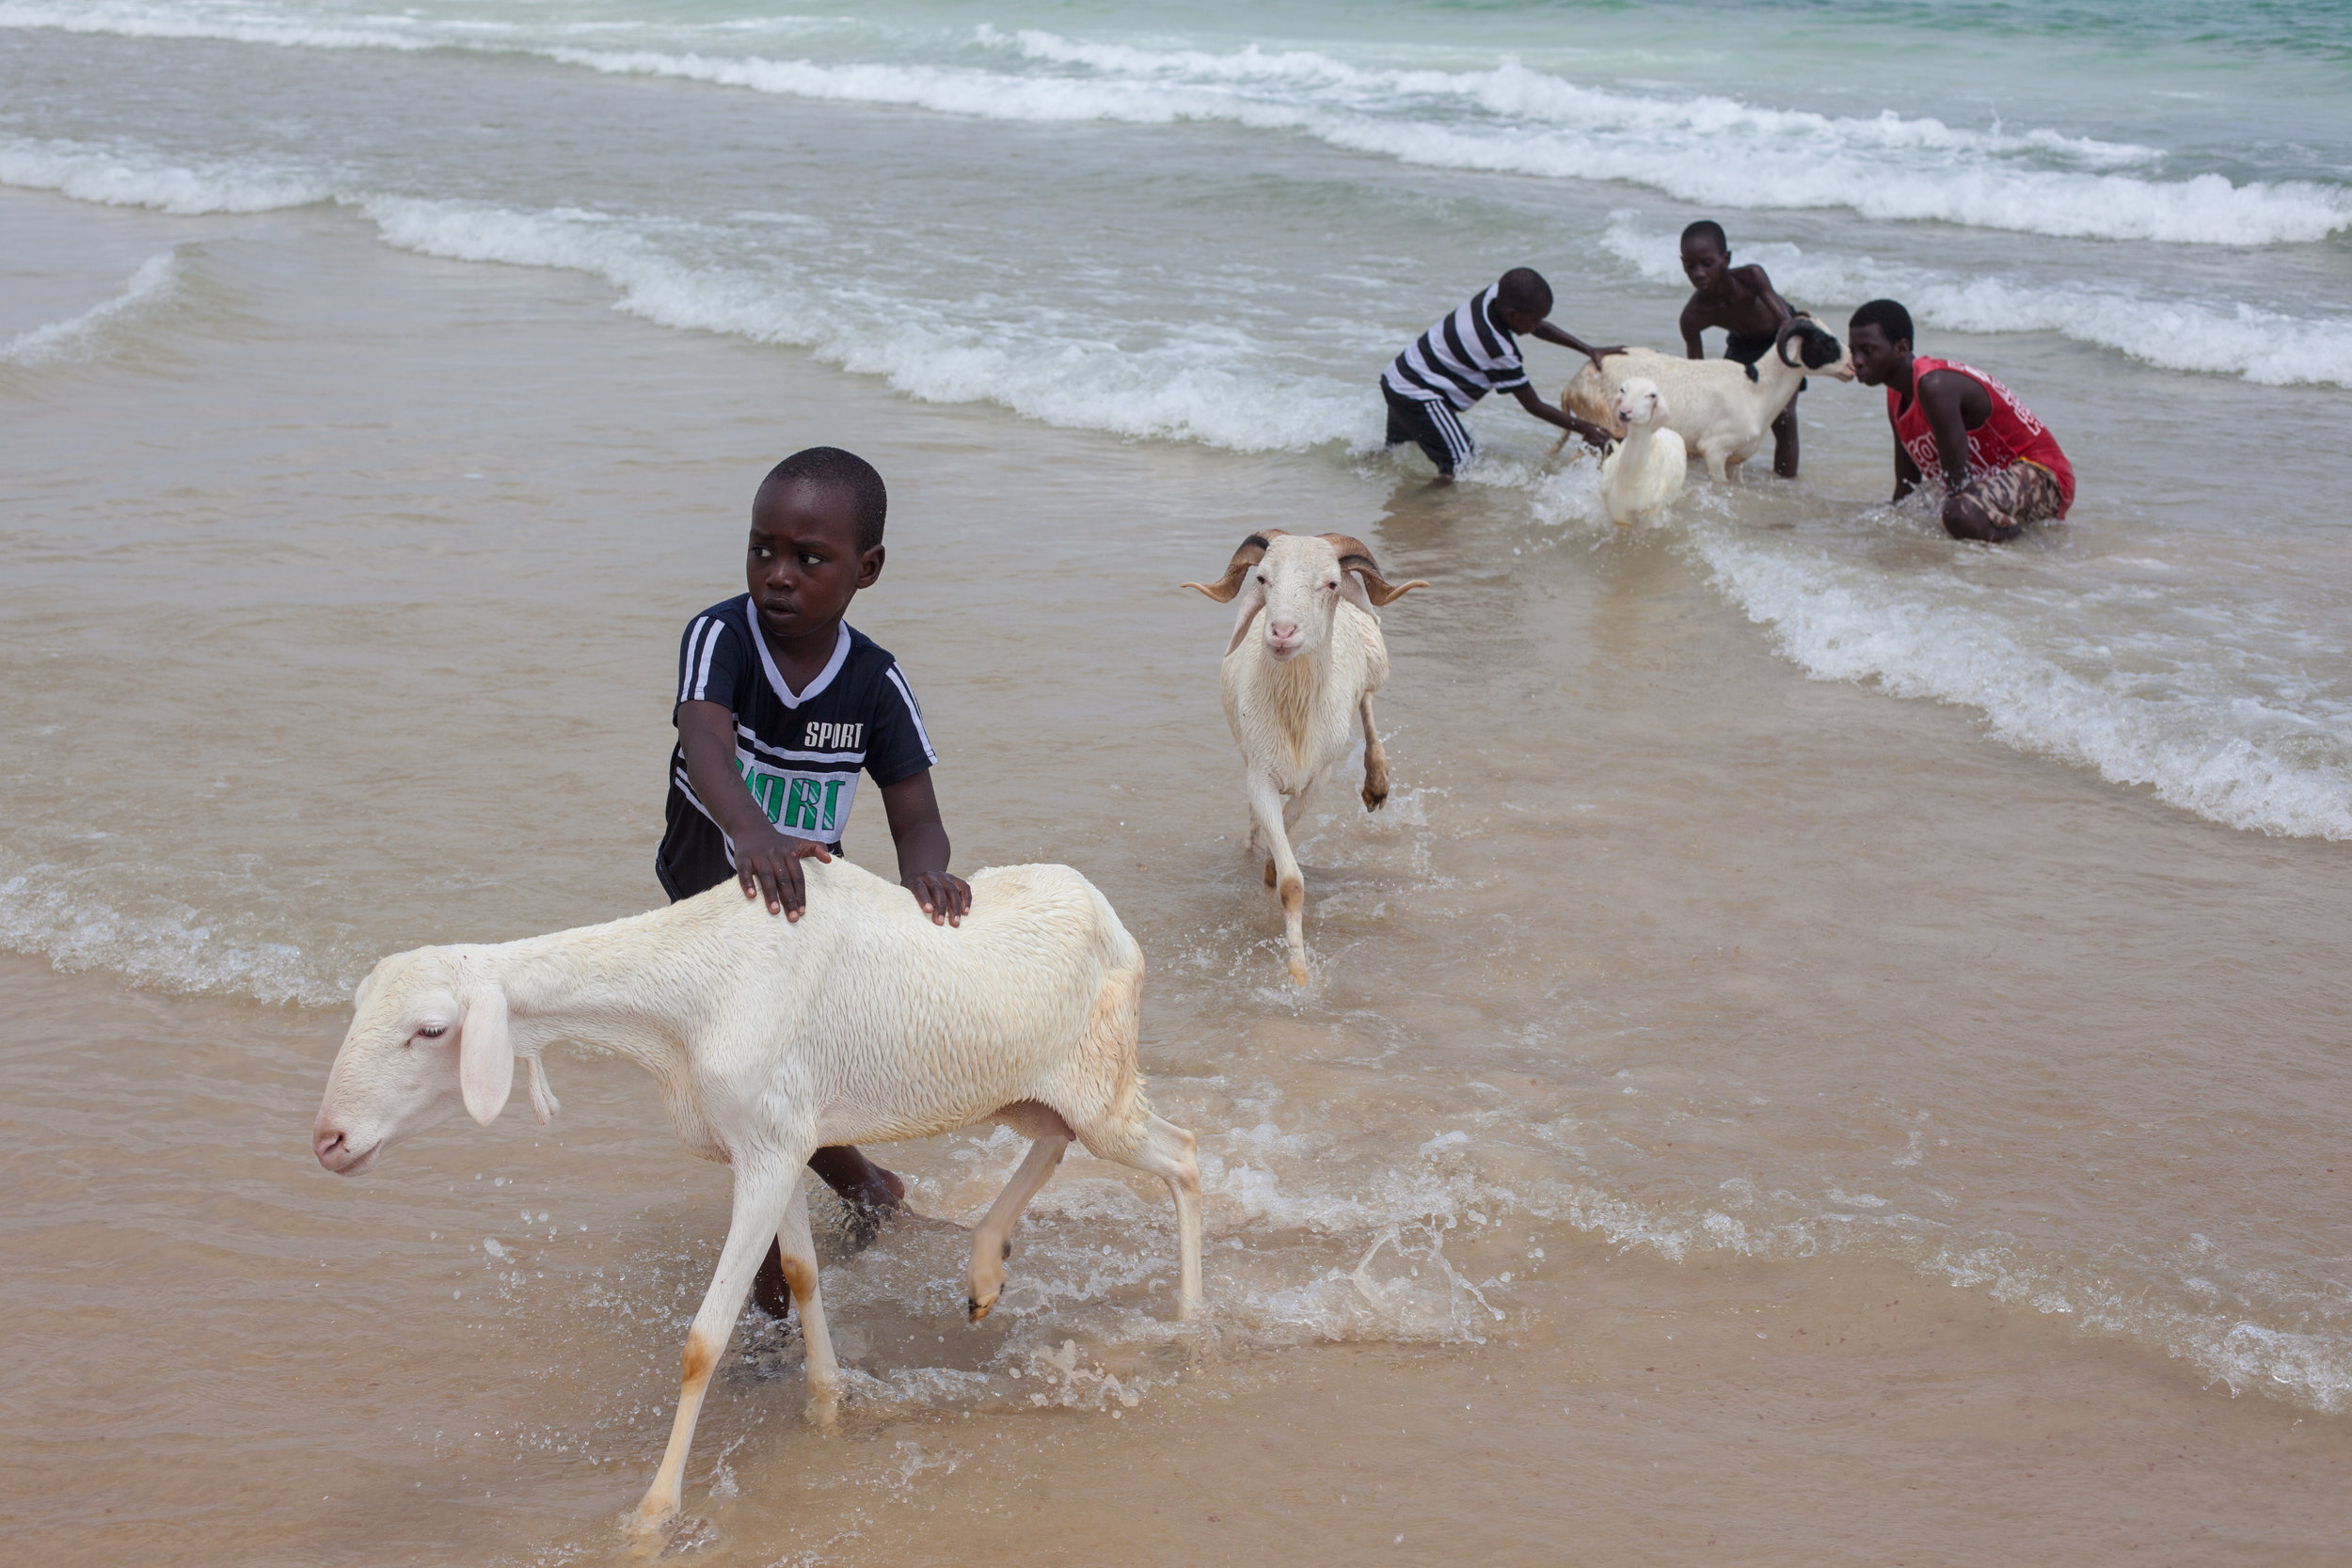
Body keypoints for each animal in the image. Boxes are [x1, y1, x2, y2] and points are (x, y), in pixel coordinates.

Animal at [306, 860, 1204, 1532]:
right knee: (1054, 1138)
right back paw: (985, 1270)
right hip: (1029, 1084)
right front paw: (829, 1404)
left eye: (430, 1029)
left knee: (1184, 1157)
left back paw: (1190, 1326)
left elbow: (703, 1341)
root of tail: (1108, 914)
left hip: (1098, 1079)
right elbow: (802, 1276)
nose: (329, 1140)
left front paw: (652, 1513)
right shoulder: (775, 1140)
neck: (686, 1000)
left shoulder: (769, 1150)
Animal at [1185, 533, 1421, 987]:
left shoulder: (1319, 778)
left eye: (1330, 584)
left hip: (1376, 659)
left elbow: (1291, 837)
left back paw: (1376, 782)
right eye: (1262, 578)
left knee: (1367, 700)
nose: (1281, 632)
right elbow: (1290, 879)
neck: (1293, 715)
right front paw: (1297, 973)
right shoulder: (1260, 775)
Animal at [1599, 375, 1693, 531]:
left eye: (1652, 395)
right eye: (1622, 389)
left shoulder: (1650, 516)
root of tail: (1667, 430)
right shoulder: (1613, 511)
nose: (1625, 411)